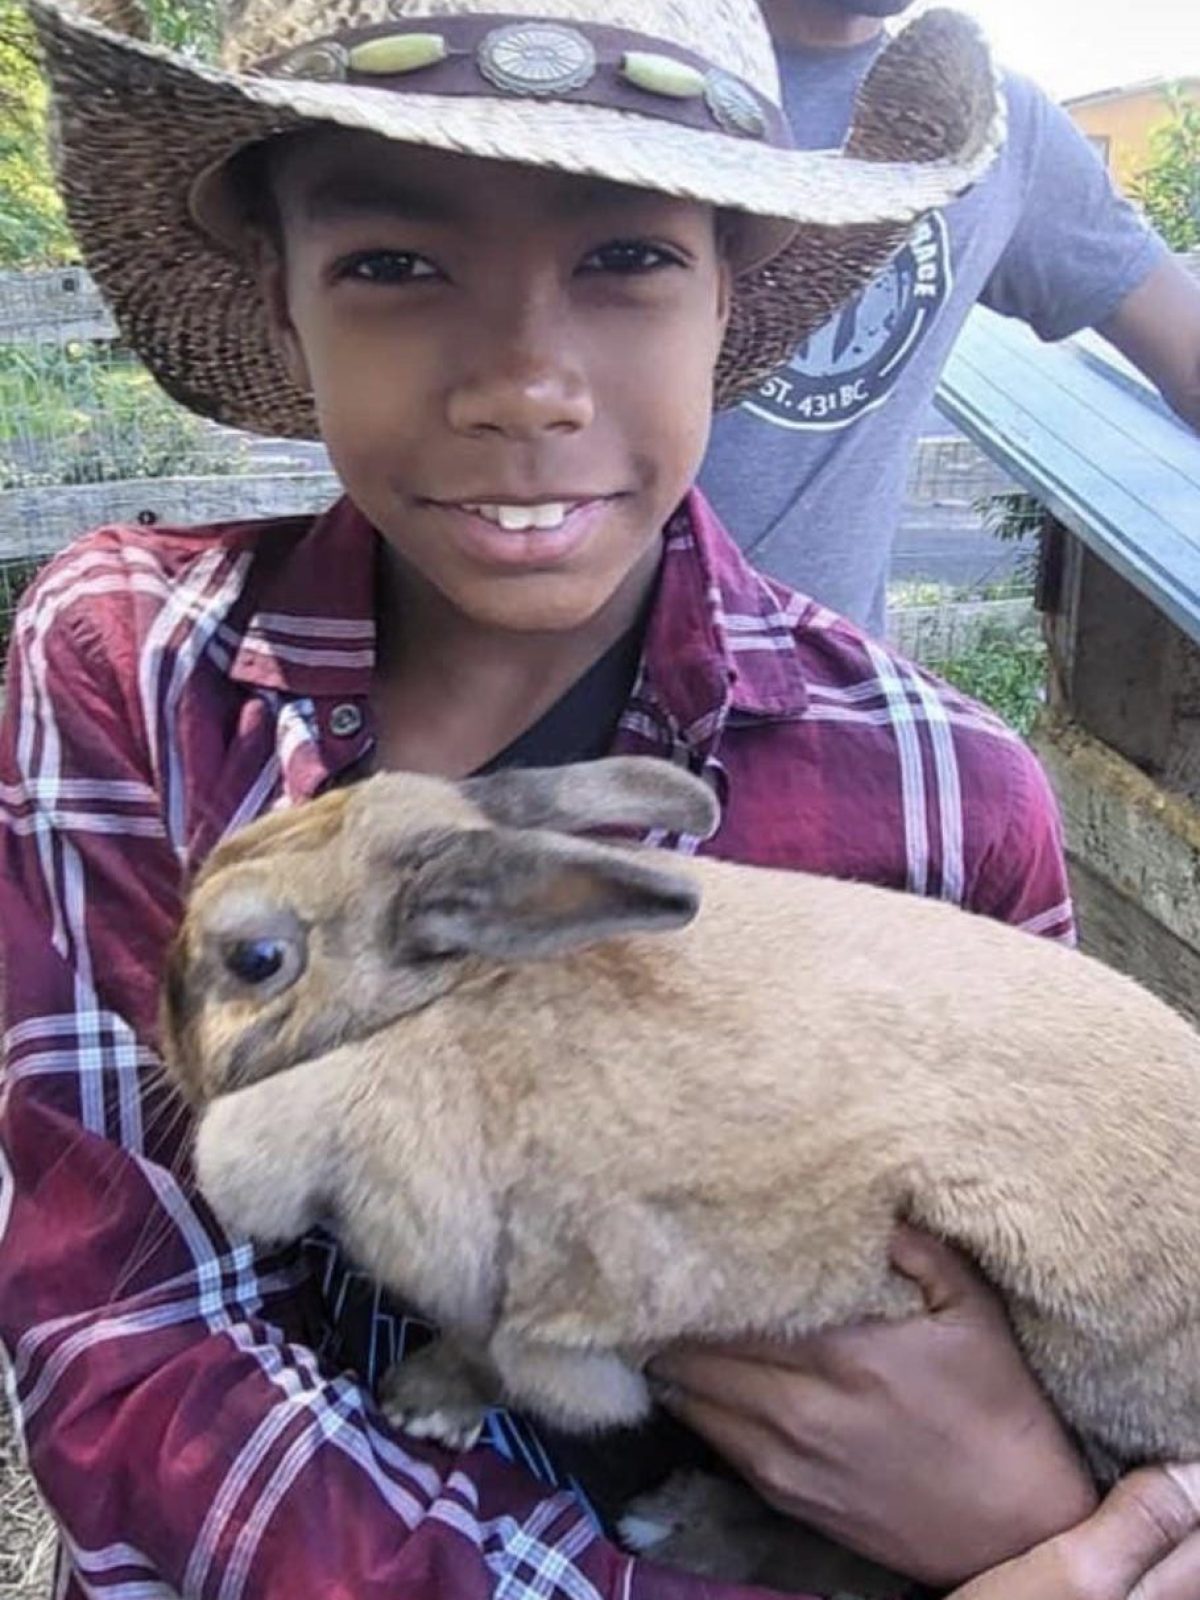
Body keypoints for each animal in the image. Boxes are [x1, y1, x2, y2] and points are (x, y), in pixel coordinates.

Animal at [160, 755, 1200, 1593]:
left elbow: (504, 1352)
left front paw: (424, 1404)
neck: (459, 997)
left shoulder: (578, 1293)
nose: (165, 1047)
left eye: (257, 959)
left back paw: (683, 1528)